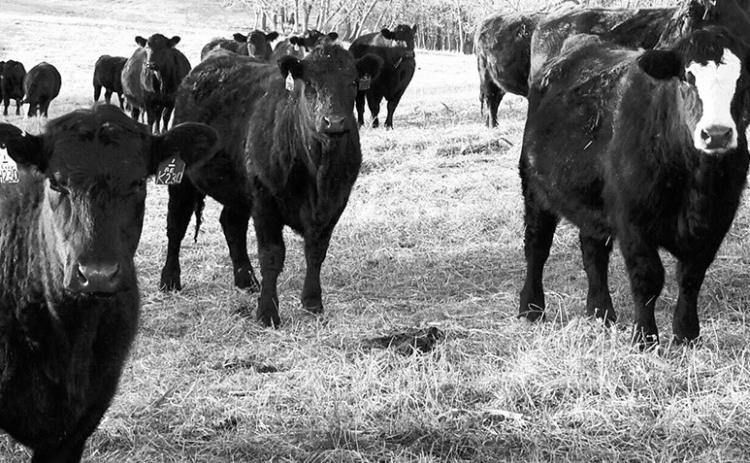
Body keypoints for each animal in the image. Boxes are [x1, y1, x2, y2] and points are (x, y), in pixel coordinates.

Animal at [159, 44, 382, 327]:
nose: (334, 121)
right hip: (183, 180)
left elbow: (316, 252)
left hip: (239, 189)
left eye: (352, 82)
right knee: (176, 226)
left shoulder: (335, 203)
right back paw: (169, 280)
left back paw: (246, 280)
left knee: (231, 224)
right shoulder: (265, 202)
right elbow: (272, 255)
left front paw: (312, 302)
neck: (318, 173)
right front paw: (267, 312)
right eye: (309, 84)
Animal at [517, 1, 750, 348]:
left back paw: (600, 311)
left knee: (593, 250)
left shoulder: (716, 220)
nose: (718, 134)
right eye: (687, 77)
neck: (696, 181)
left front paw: (686, 335)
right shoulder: (632, 220)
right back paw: (531, 307)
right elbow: (648, 277)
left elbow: (691, 277)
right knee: (537, 245)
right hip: (534, 185)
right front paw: (644, 338)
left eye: (744, 81)